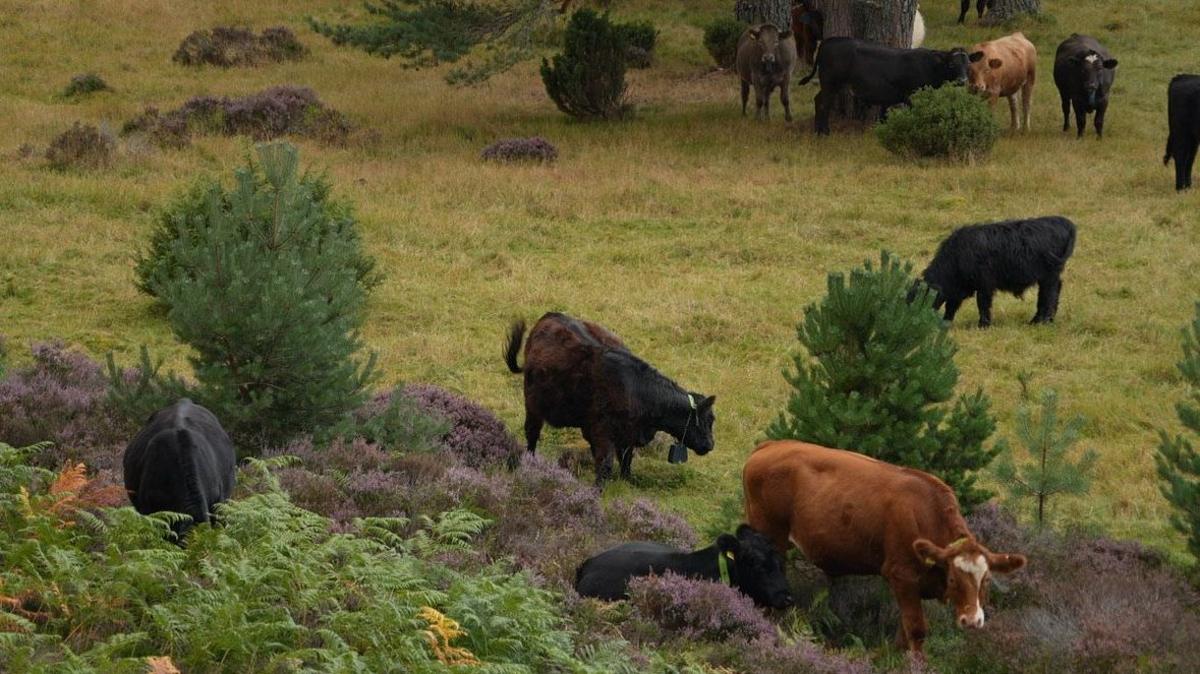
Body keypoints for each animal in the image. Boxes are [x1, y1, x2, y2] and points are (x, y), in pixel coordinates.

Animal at [505, 312, 716, 486]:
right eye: (706, 420)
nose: (710, 444)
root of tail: (550, 316)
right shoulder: (602, 430)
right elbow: (606, 463)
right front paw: (597, 490)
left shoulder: (626, 435)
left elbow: (626, 458)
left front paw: (626, 480)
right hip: (532, 406)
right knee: (532, 434)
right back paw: (530, 462)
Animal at [743, 440, 1027, 656]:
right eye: (953, 579)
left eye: (986, 580)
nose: (973, 621)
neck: (927, 515)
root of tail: (771, 445)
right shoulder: (901, 575)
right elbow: (917, 630)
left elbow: (903, 633)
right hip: (769, 533)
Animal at [797, 38, 973, 135]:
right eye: (951, 64)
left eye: (968, 64)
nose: (963, 80)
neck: (930, 66)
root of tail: (827, 41)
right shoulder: (912, 95)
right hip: (830, 82)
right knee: (823, 103)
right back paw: (823, 132)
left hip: (831, 84)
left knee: (818, 99)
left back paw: (818, 130)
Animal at [914, 216, 1076, 328]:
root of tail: (1063, 222)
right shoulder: (959, 289)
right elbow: (951, 307)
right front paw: (946, 323)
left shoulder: (984, 285)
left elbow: (982, 304)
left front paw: (983, 325)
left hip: (1049, 277)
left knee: (1049, 296)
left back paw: (1040, 322)